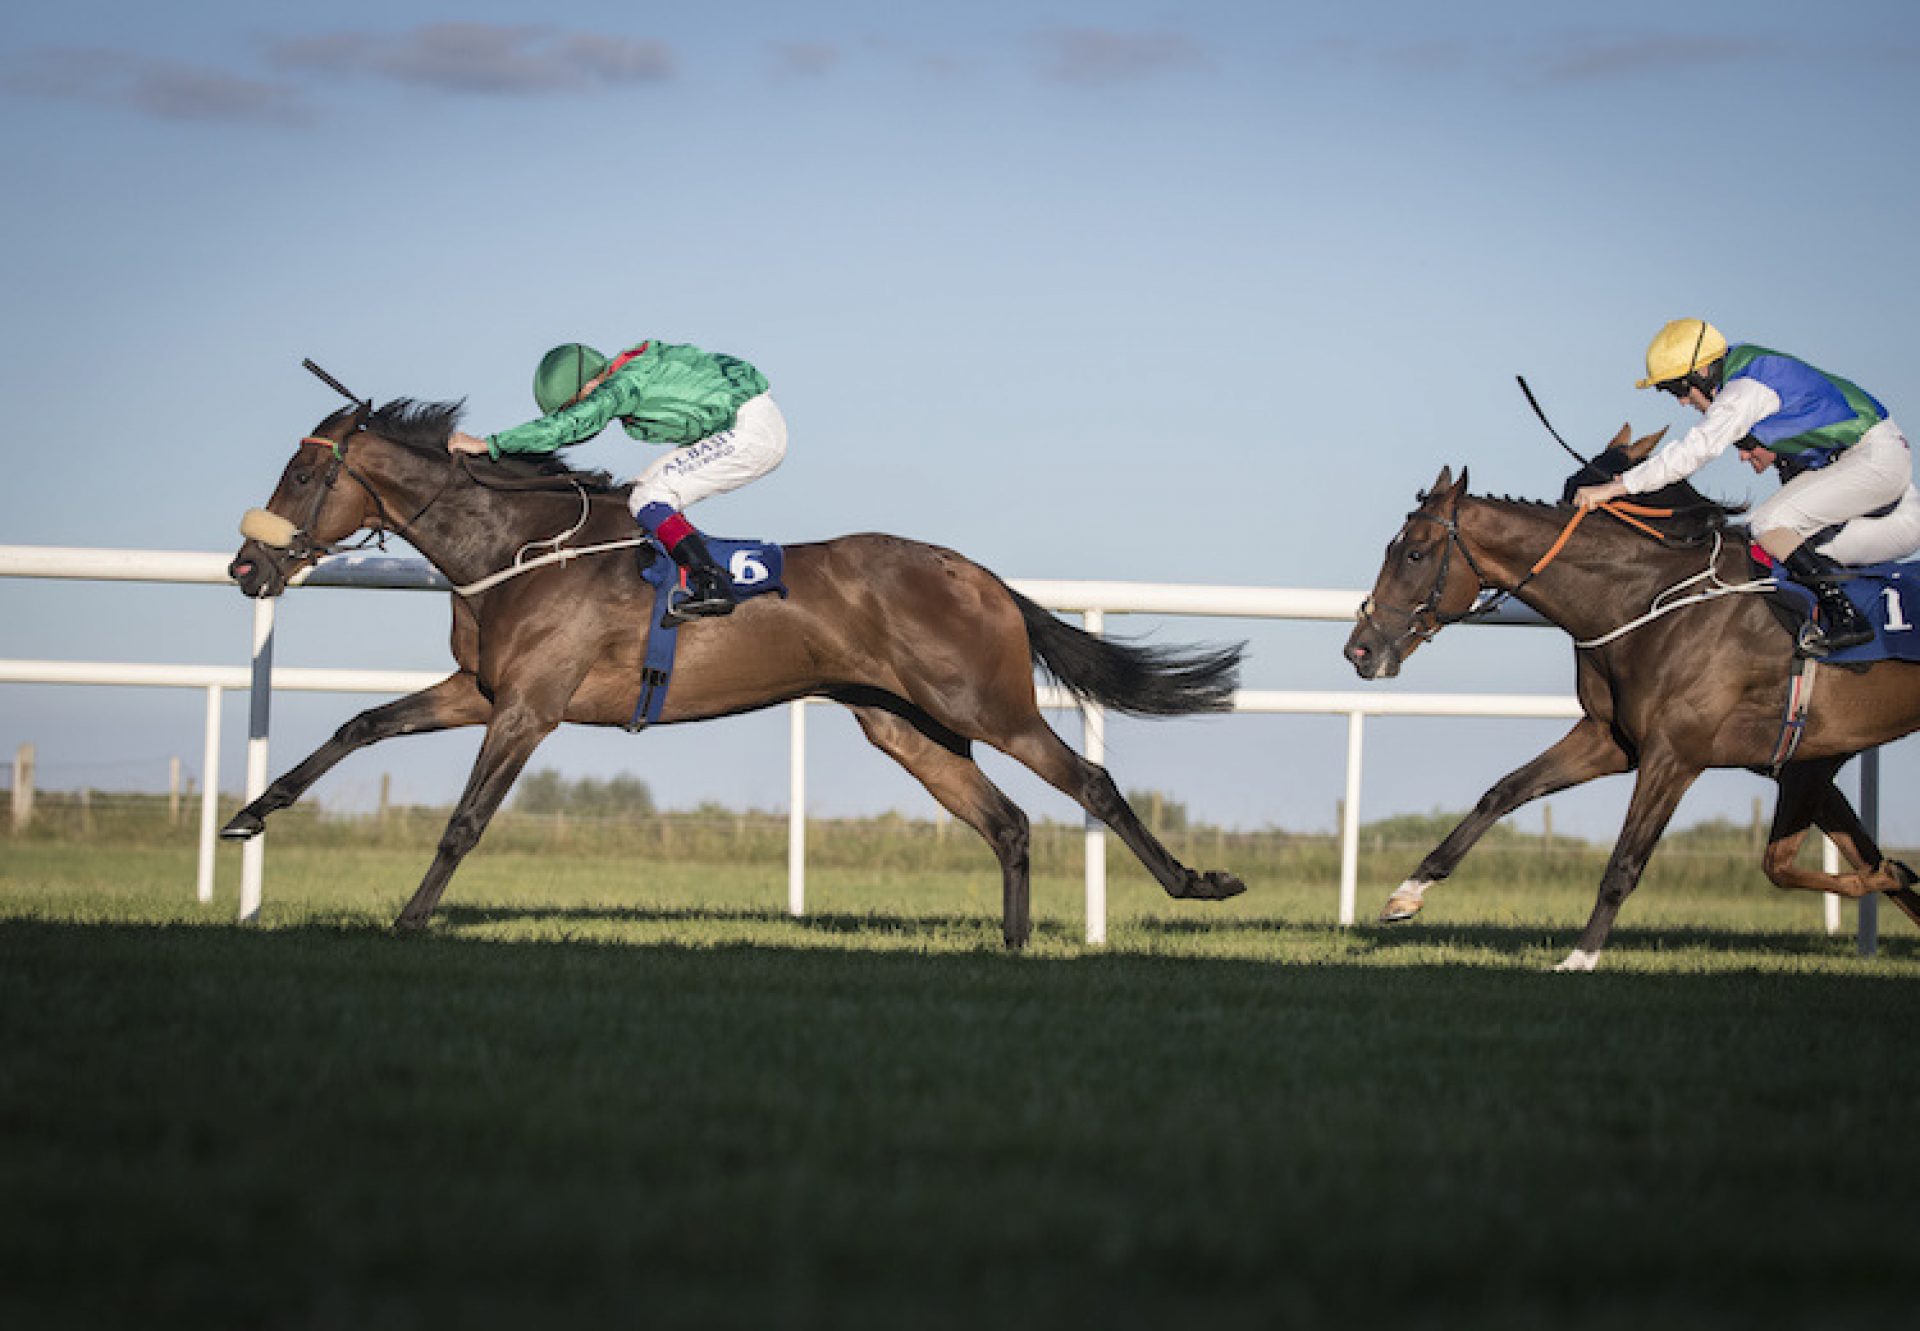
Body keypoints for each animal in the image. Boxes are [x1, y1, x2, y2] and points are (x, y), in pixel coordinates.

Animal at [224, 397, 1251, 944]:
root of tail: (982, 575)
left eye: (304, 477)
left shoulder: (528, 707)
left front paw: (409, 920)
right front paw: (249, 813)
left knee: (1091, 780)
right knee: (1009, 820)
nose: (246, 567)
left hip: (984, 703)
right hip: (906, 726)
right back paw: (1011, 940)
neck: (522, 548)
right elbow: (357, 725)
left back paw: (1194, 883)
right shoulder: (477, 692)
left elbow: (465, 821)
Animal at [1344, 430, 1920, 971]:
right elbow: (1503, 792)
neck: (1651, 602)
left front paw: (1581, 956)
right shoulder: (1614, 739)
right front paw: (1409, 891)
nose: (1359, 649)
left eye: (1414, 554)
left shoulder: (1677, 755)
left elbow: (1625, 863)